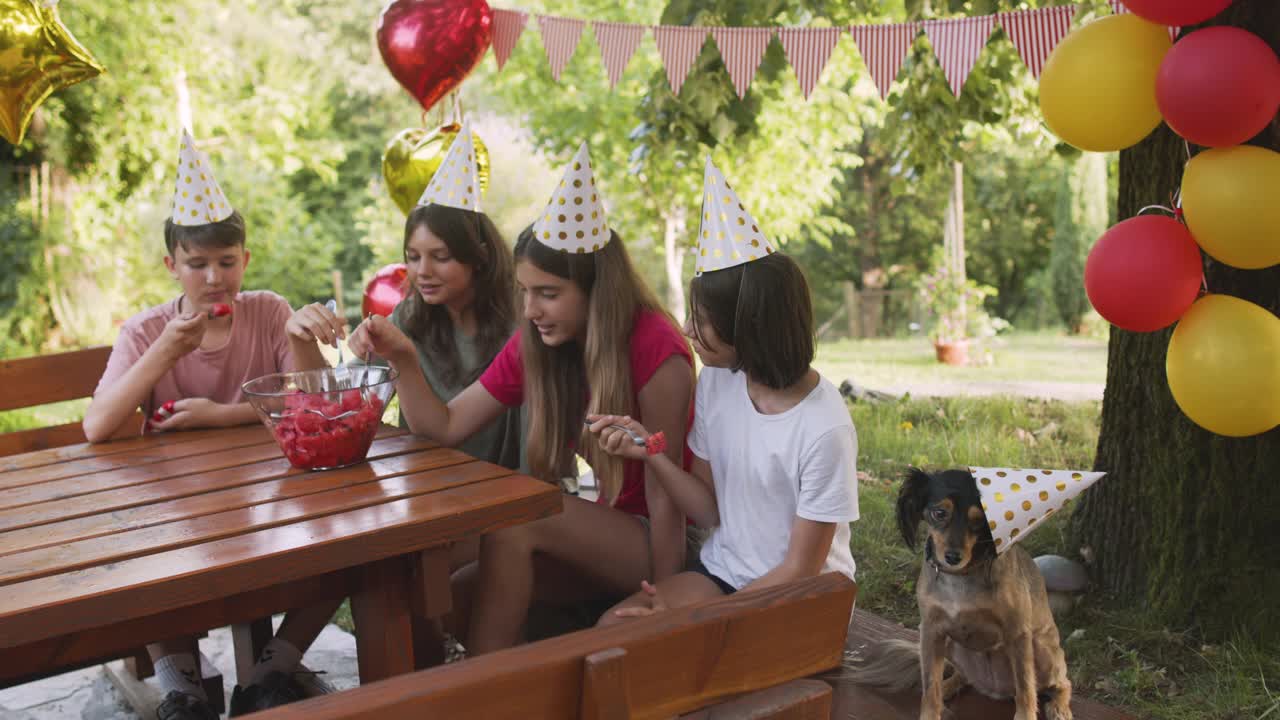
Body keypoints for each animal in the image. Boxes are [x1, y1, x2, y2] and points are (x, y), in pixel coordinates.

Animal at [844, 466, 1105, 717]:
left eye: (980, 521)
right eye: (939, 513)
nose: (953, 556)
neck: (959, 577)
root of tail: (996, 690)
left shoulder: (1018, 633)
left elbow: (1026, 691)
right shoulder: (930, 631)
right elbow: (930, 689)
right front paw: (933, 707)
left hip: (1041, 650)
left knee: (1061, 684)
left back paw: (1059, 707)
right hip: (952, 644)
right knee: (961, 677)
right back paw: (948, 688)